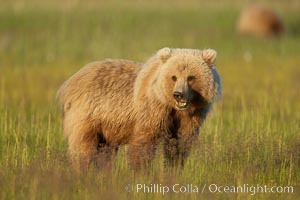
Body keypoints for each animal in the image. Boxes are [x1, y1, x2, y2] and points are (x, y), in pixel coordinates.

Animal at [56, 48, 220, 169]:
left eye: (191, 77)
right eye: (173, 77)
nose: (178, 94)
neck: (171, 106)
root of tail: (69, 82)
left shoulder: (192, 116)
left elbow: (180, 143)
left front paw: (174, 166)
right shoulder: (152, 109)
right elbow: (144, 141)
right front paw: (141, 170)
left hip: (107, 126)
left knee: (105, 151)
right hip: (88, 114)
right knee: (83, 147)